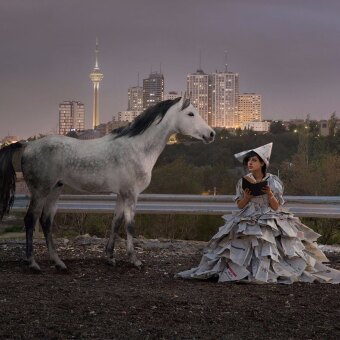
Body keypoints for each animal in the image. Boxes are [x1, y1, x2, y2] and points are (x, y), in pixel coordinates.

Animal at [0, 97, 215, 270]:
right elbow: (130, 226)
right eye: (191, 113)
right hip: (40, 191)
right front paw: (134, 260)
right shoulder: (131, 194)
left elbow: (115, 223)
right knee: (30, 220)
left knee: (46, 221)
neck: (137, 148)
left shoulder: (121, 194)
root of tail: (28, 145)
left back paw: (59, 262)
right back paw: (33, 263)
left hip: (55, 189)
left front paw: (110, 257)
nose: (211, 134)